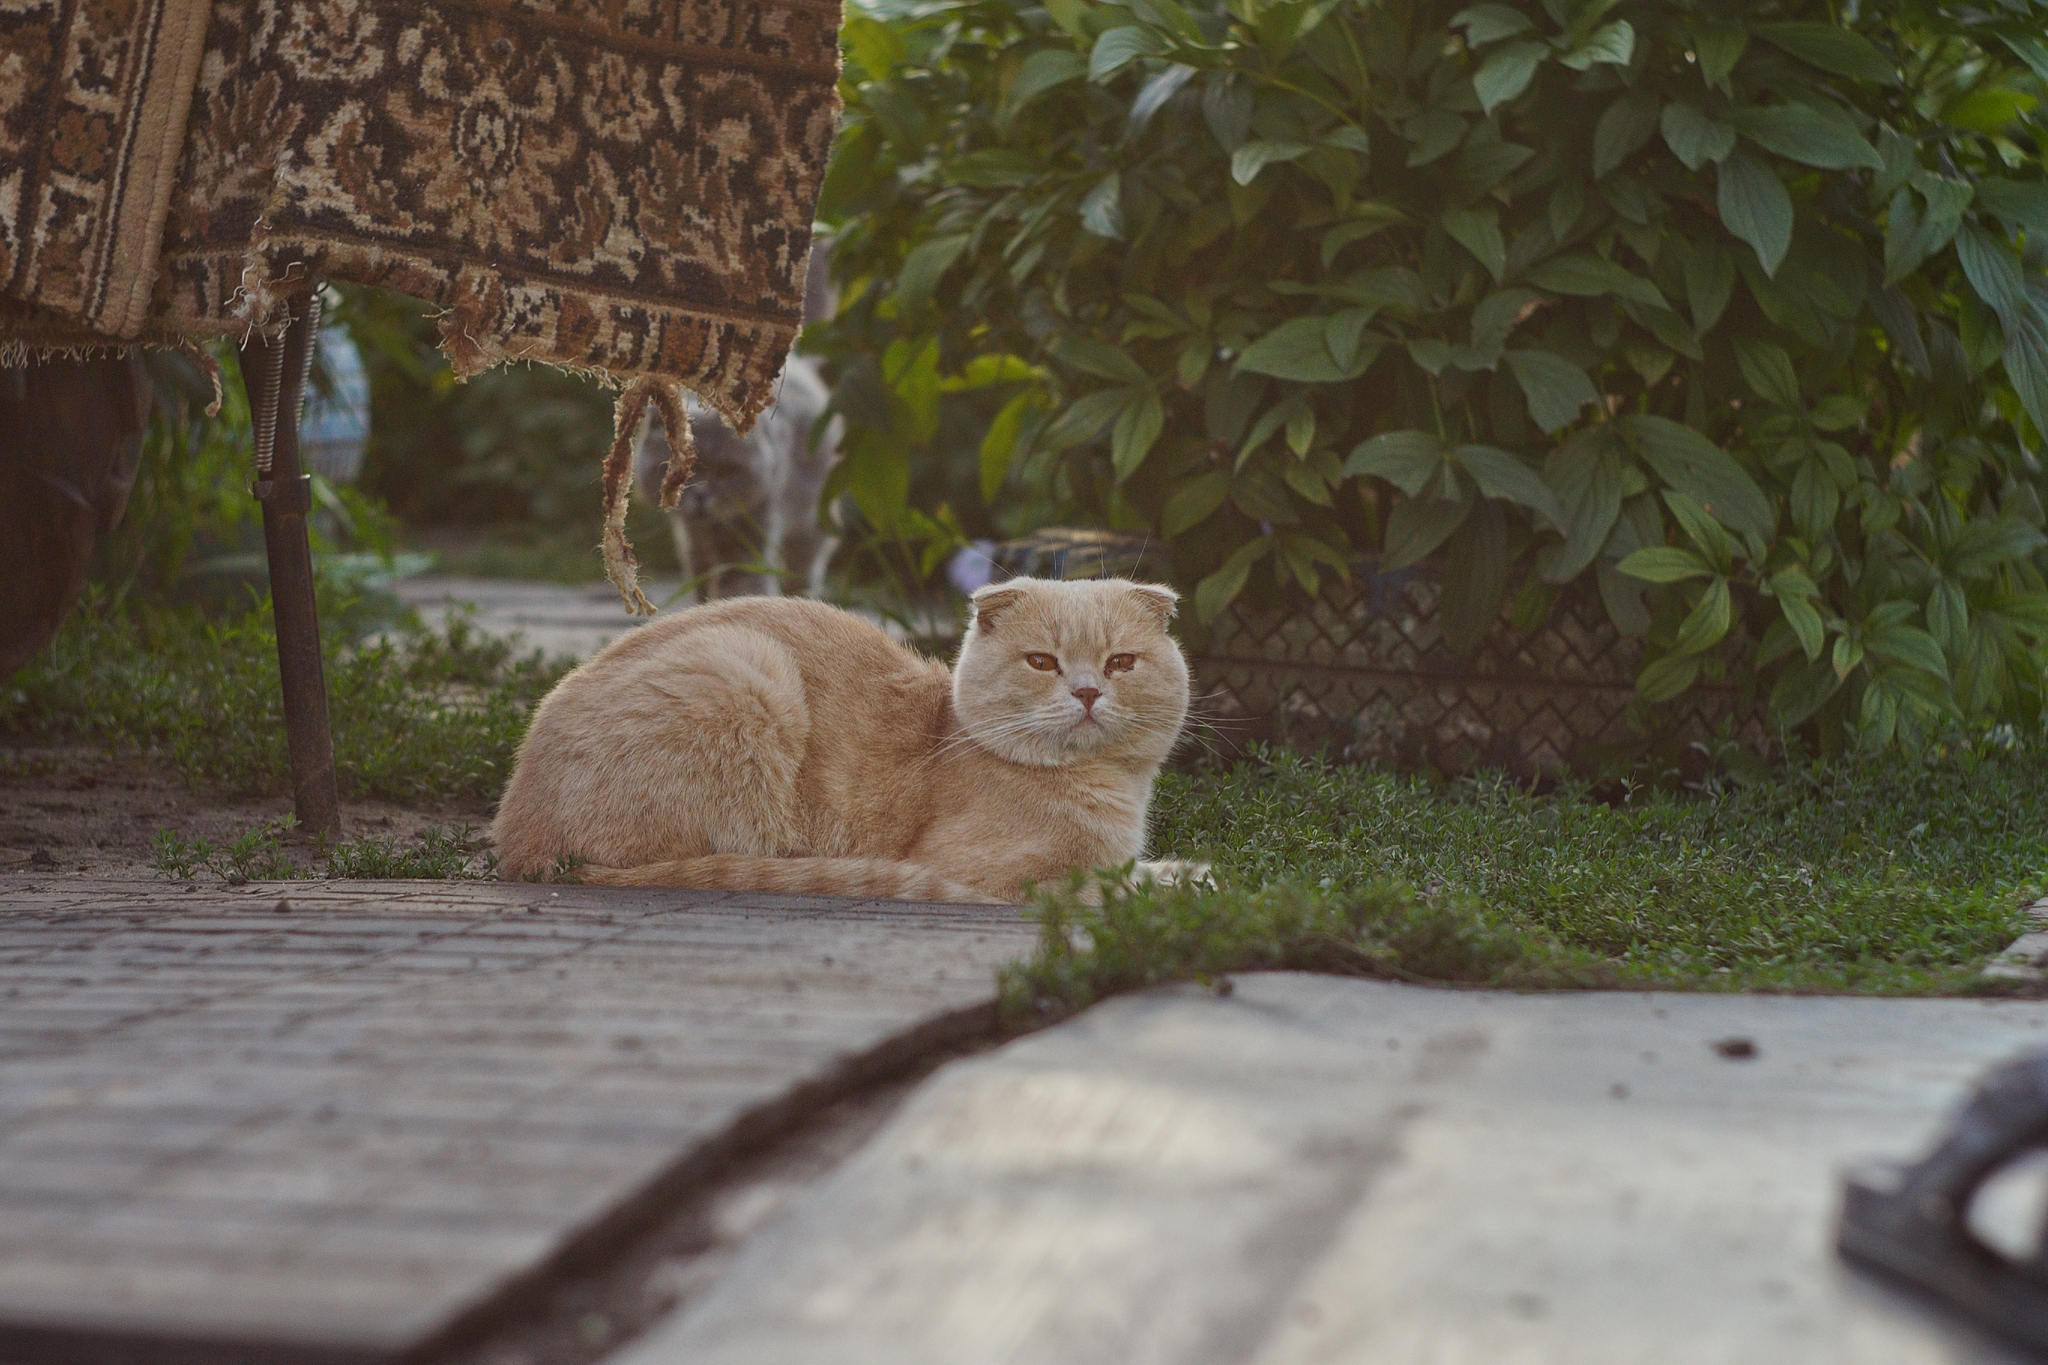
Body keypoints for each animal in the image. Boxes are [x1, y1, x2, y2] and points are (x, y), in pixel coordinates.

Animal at [489, 573, 1196, 900]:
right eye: (1042, 662)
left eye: (1121, 663)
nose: (1087, 691)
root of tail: (517, 837)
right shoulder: (981, 871)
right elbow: (1097, 882)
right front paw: (1165, 884)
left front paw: (1182, 871)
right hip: (745, 671)